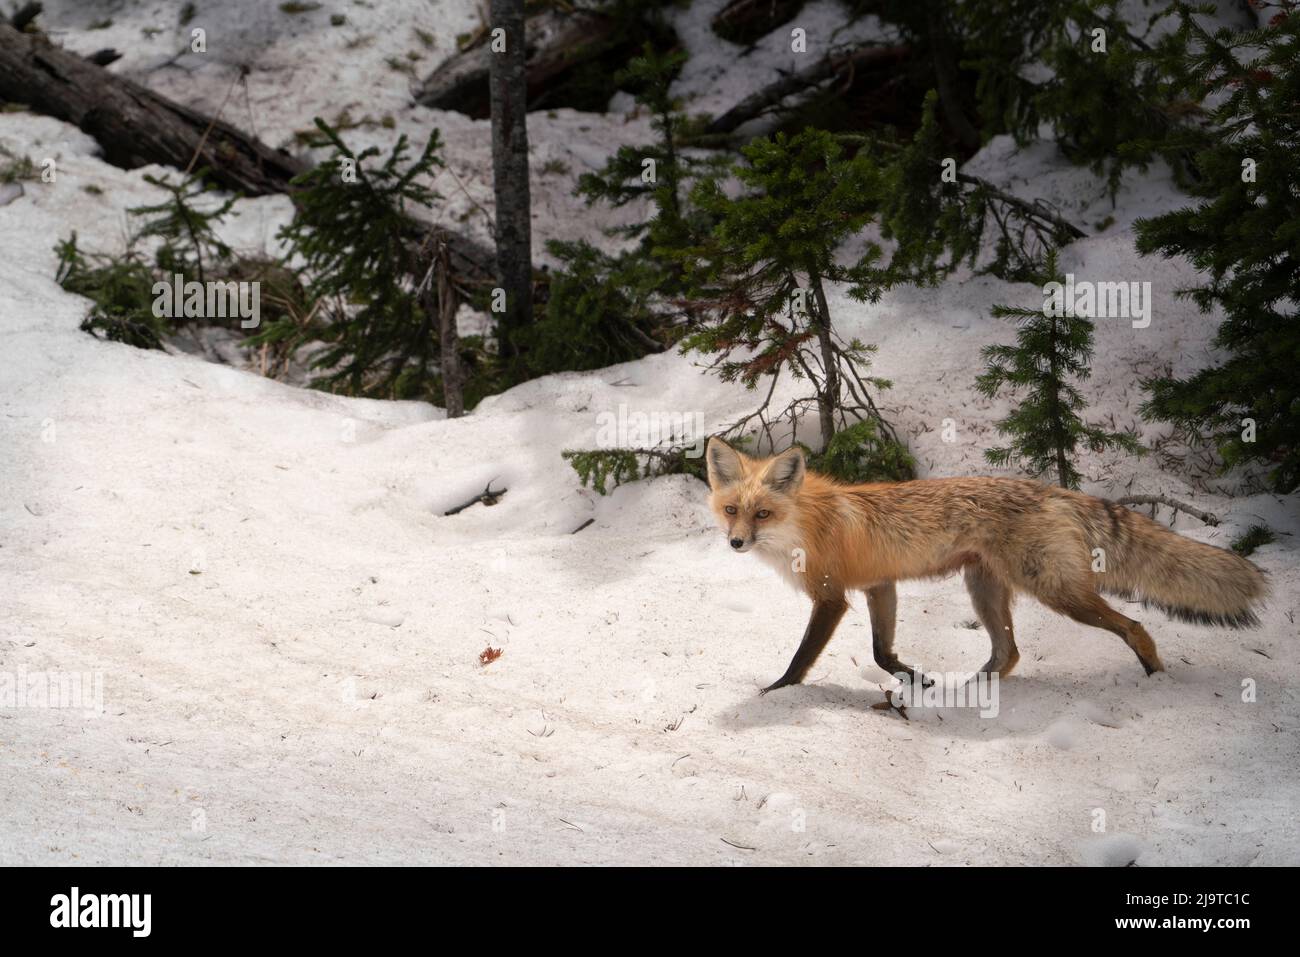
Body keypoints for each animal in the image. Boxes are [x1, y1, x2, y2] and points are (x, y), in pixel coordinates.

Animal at [705, 437, 1268, 691]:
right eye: (732, 510)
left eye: (762, 513)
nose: (736, 543)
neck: (804, 525)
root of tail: (1056, 491)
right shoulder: (880, 585)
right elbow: (883, 654)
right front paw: (916, 679)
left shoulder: (832, 598)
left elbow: (801, 659)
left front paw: (777, 692)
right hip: (985, 590)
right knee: (1009, 653)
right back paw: (972, 690)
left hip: (1058, 593)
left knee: (1134, 626)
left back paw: (1154, 675)